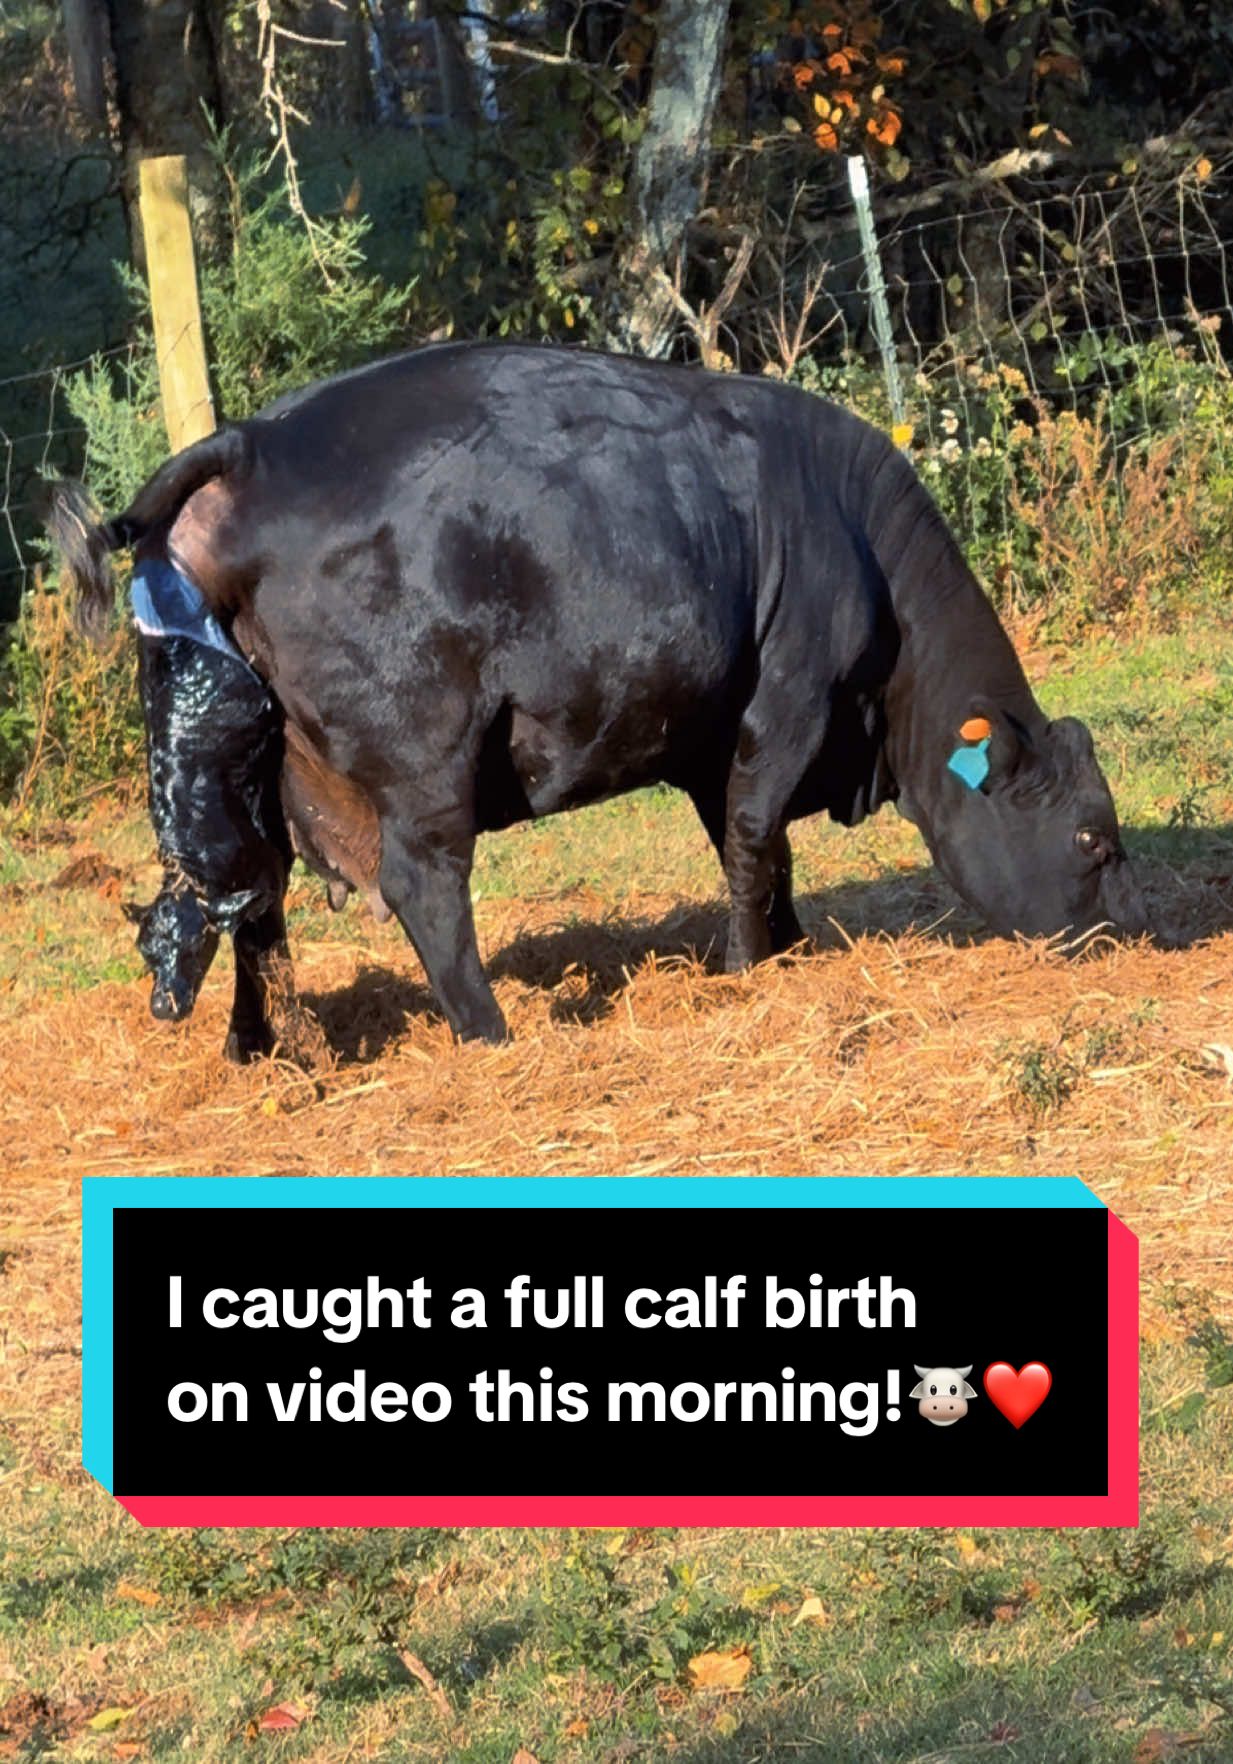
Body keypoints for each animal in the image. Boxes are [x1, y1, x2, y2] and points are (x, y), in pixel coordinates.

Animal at [49, 342, 1150, 1060]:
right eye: (1093, 840)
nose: (1133, 939)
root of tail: (254, 443)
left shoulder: (714, 734)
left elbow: (757, 850)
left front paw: (789, 945)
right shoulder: (790, 700)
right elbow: (755, 836)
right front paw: (748, 969)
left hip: (240, 758)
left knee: (246, 894)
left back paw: (272, 1049)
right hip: (422, 753)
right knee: (420, 884)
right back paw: (490, 1034)